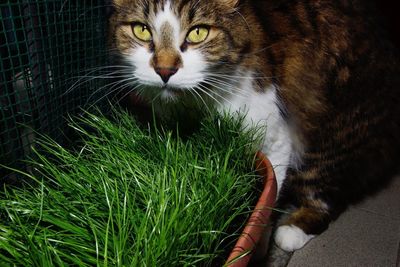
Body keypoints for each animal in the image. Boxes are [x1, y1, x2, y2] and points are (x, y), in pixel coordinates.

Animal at [107, 0, 400, 260]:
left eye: (198, 32)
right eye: (141, 30)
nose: (165, 70)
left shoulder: (276, 139)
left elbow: (270, 199)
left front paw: (259, 245)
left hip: (328, 137)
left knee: (327, 198)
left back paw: (292, 230)